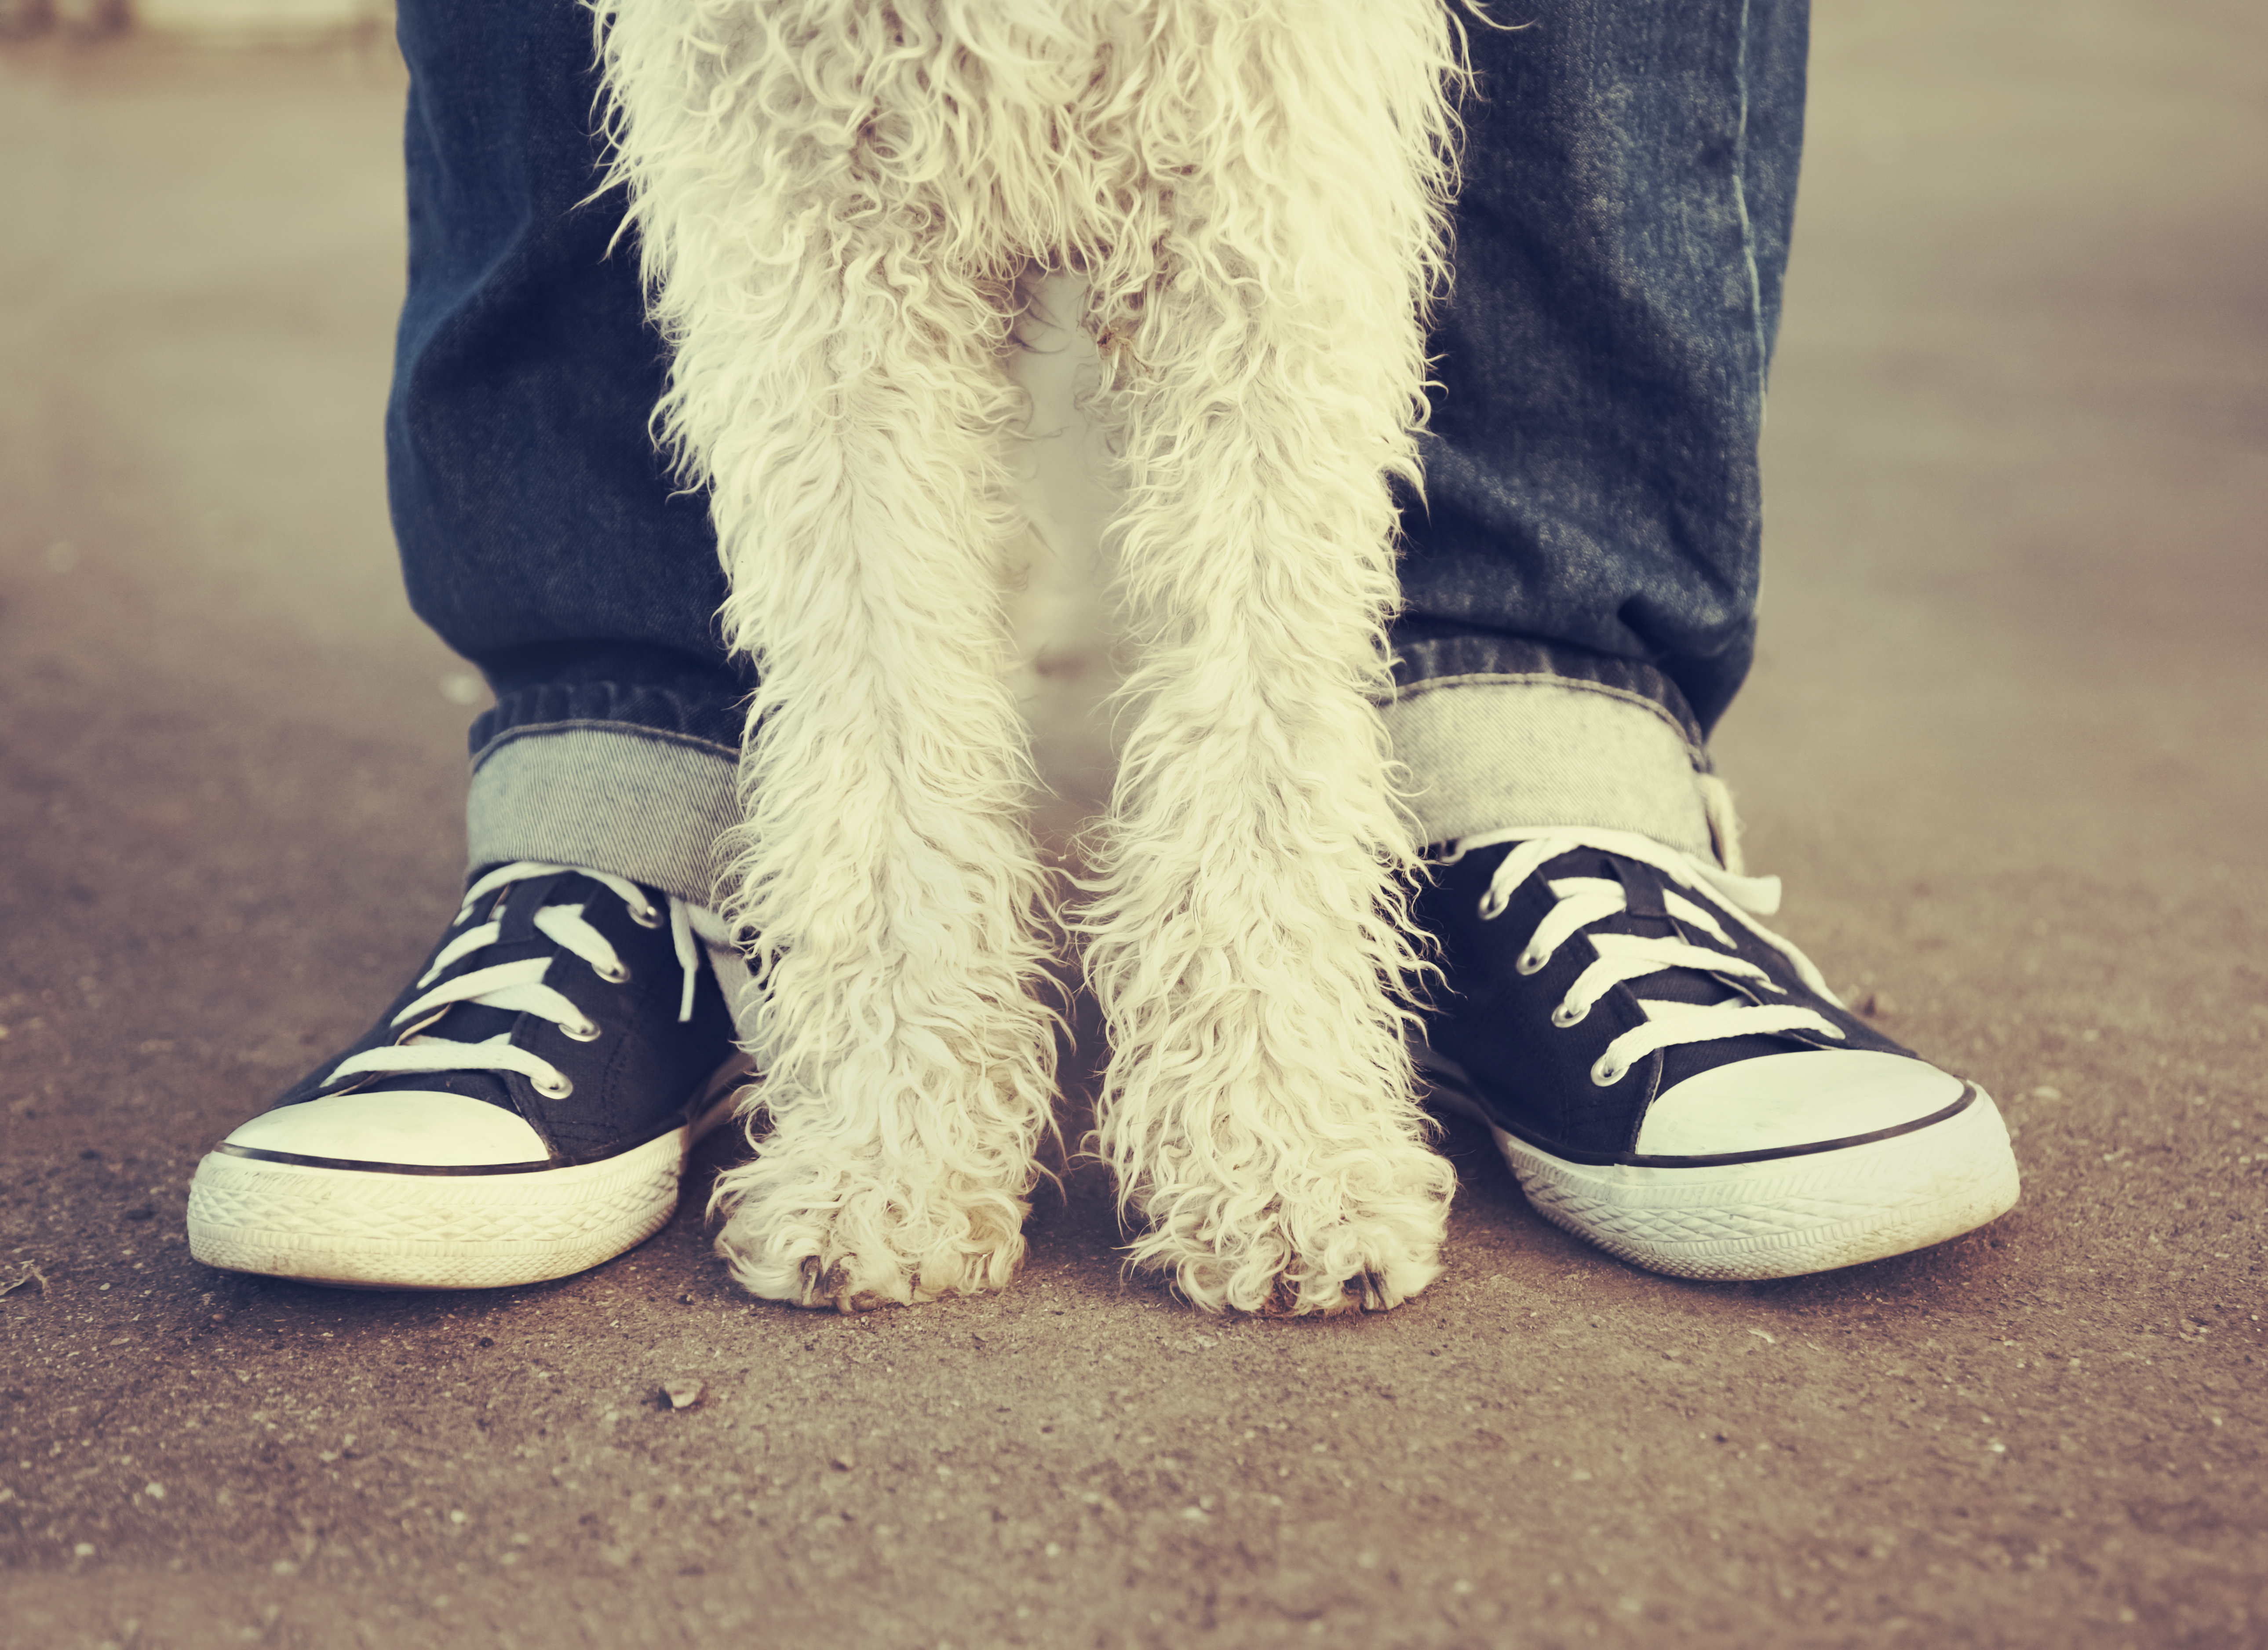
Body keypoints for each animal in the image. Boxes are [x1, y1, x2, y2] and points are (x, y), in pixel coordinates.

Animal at [585, 0, 1469, 1316]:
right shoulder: (816, 231)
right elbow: (886, 729)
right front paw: (888, 1156)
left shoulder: (1262, 197)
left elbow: (1258, 726)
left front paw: (1276, 1157)